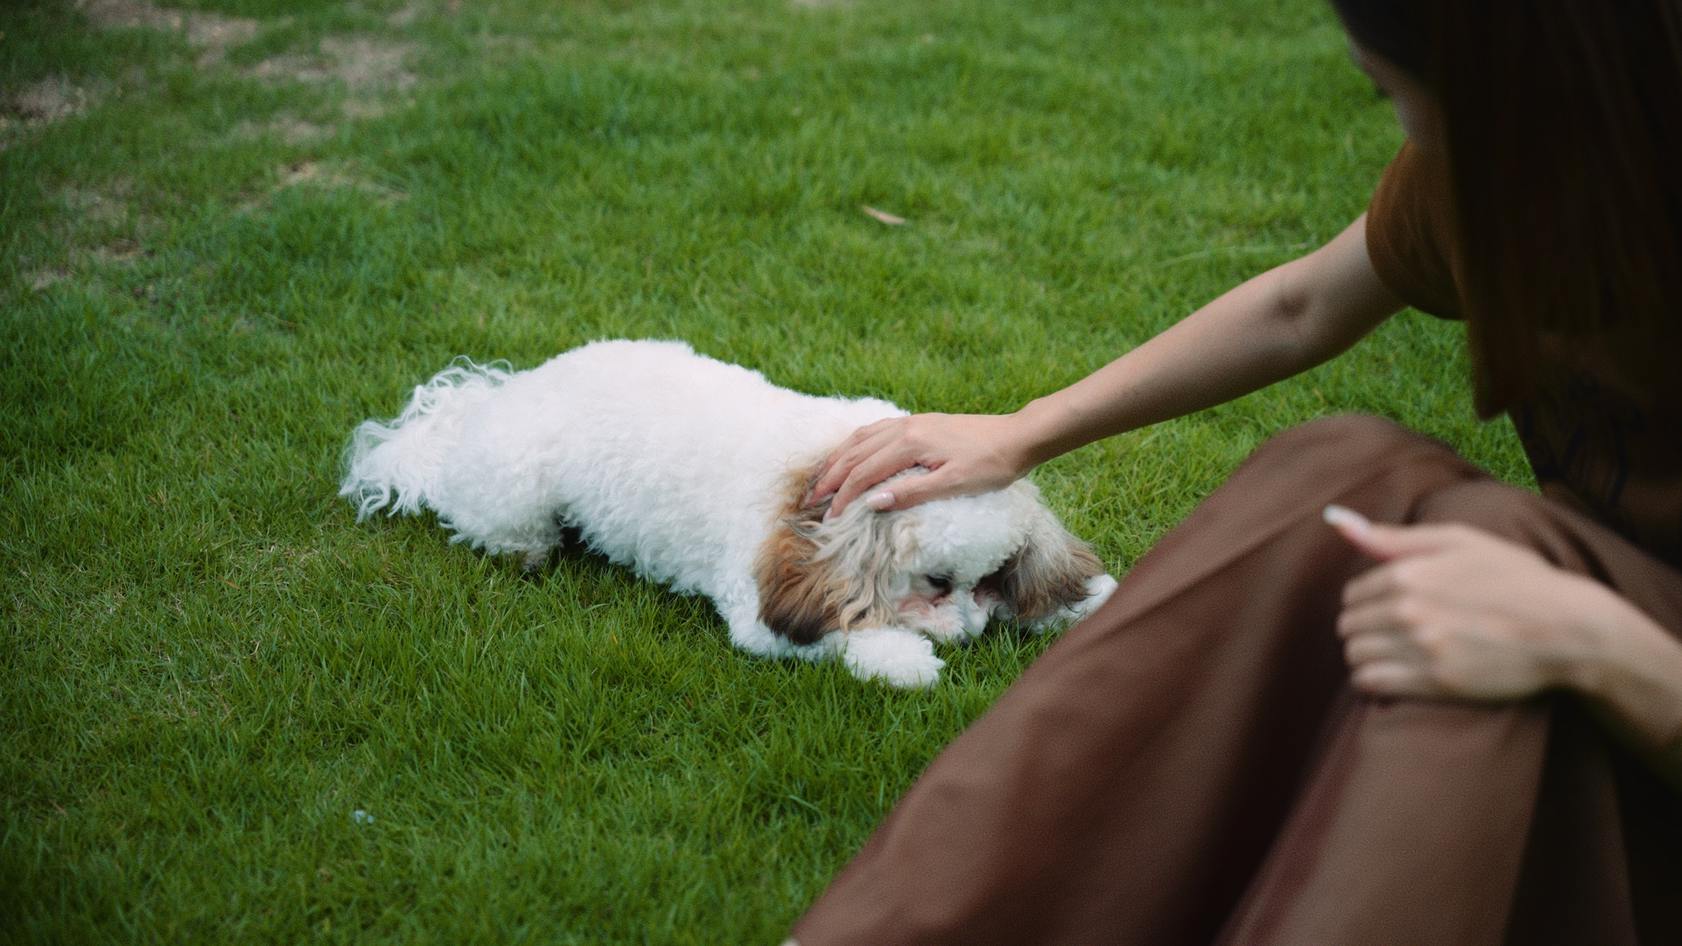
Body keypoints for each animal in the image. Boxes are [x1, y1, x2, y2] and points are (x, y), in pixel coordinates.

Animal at [338, 338, 1116, 683]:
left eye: (993, 580)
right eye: (936, 583)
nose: (973, 634)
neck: (818, 497)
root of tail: (487, 403)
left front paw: (1089, 601)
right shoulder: (762, 608)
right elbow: (842, 632)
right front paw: (903, 660)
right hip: (517, 501)